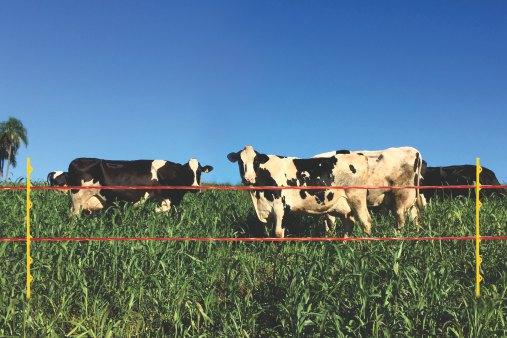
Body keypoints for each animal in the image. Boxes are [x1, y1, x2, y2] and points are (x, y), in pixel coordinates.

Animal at [67, 156, 212, 214]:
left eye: (199, 172)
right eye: (187, 171)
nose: (195, 188)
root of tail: (76, 161)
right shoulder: (161, 201)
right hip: (78, 199)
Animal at [228, 145, 372, 238]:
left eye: (256, 161)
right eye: (240, 161)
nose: (248, 178)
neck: (258, 195)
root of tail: (358, 155)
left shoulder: (281, 206)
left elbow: (278, 232)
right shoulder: (265, 210)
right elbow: (267, 233)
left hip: (357, 198)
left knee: (366, 222)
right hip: (344, 206)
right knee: (349, 224)